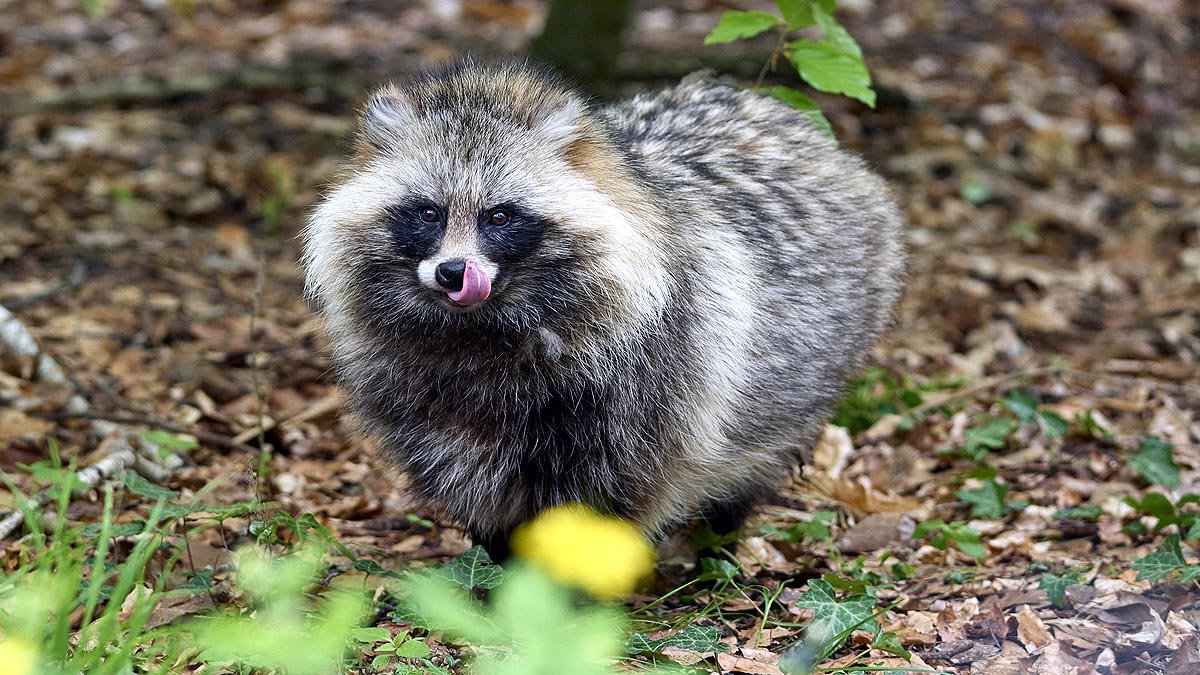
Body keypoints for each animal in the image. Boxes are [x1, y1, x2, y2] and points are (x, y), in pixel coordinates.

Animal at [303, 62, 904, 560]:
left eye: (500, 216)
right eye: (428, 213)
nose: (453, 272)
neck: (480, 333)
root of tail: (778, 110)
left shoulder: (645, 381)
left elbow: (606, 504)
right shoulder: (419, 390)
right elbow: (471, 480)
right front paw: (496, 574)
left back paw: (720, 538)